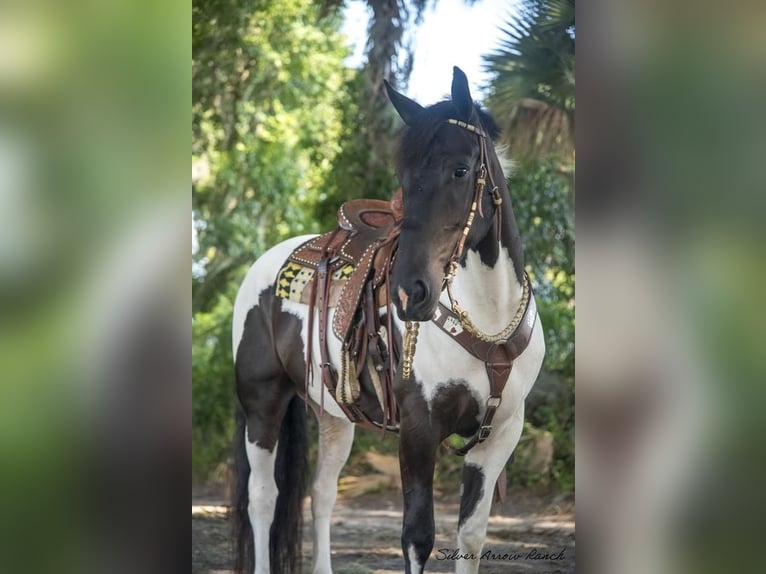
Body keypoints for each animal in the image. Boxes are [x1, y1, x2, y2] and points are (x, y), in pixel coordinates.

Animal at [231, 67, 548, 574]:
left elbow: (471, 537)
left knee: (321, 494)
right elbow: (418, 537)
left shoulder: (500, 433)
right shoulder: (418, 429)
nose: (407, 292)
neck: (486, 320)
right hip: (263, 403)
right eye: (404, 177)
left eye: (460, 170)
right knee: (263, 498)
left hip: (333, 414)